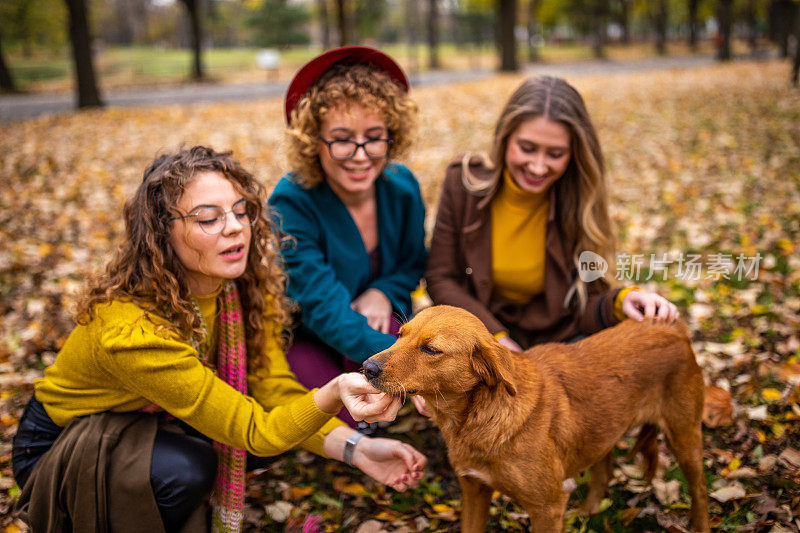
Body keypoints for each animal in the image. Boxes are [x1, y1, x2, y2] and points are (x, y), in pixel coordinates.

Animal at [362, 306, 708, 528]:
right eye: (400, 334)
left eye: (431, 349)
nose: (367, 367)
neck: (479, 419)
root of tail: (670, 325)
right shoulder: (474, 490)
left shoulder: (548, 509)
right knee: (605, 469)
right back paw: (588, 511)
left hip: (685, 439)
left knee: (700, 490)